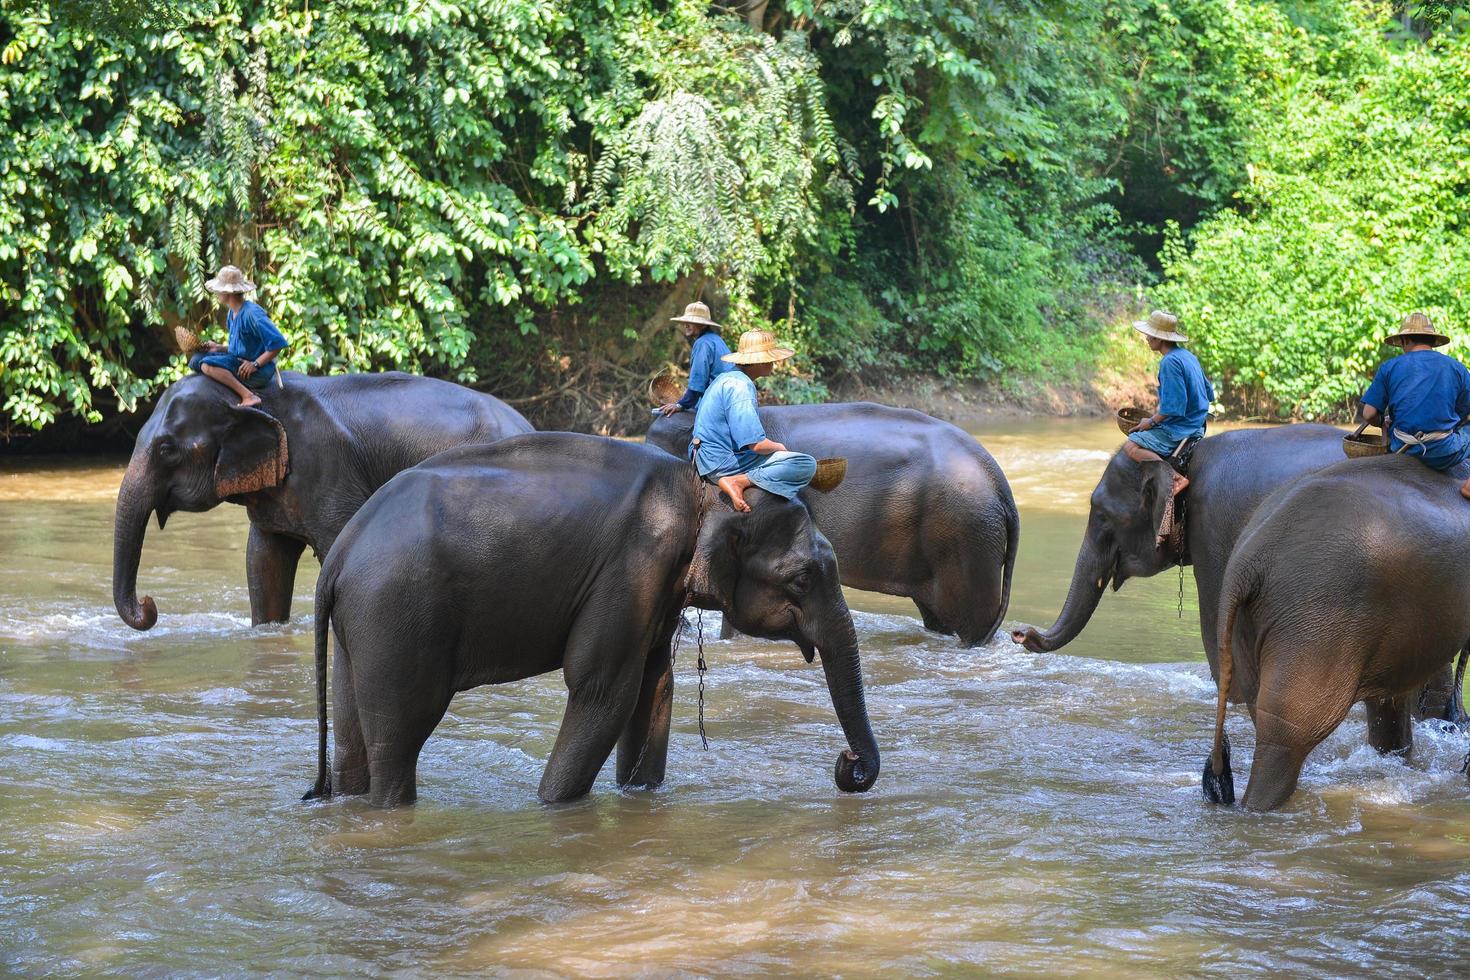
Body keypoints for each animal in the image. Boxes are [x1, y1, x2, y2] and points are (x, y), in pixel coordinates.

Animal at [296, 431, 870, 811]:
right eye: (802, 579)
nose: (847, 764)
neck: (697, 486)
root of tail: (341, 553)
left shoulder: (658, 585)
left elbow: (655, 684)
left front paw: (639, 795)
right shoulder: (632, 565)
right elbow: (604, 691)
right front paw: (552, 807)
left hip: (361, 625)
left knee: (353, 734)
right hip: (396, 616)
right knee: (399, 736)